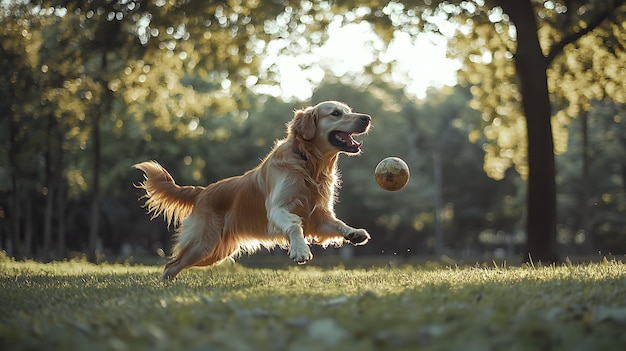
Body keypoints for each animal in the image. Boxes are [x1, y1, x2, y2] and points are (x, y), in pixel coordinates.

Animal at [134, 101, 370, 280]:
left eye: (348, 110)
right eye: (336, 113)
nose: (366, 117)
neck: (307, 162)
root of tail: (203, 192)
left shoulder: (318, 216)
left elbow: (337, 224)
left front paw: (353, 232)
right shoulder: (277, 209)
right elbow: (295, 226)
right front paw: (300, 250)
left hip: (216, 251)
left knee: (175, 265)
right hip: (202, 244)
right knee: (171, 265)